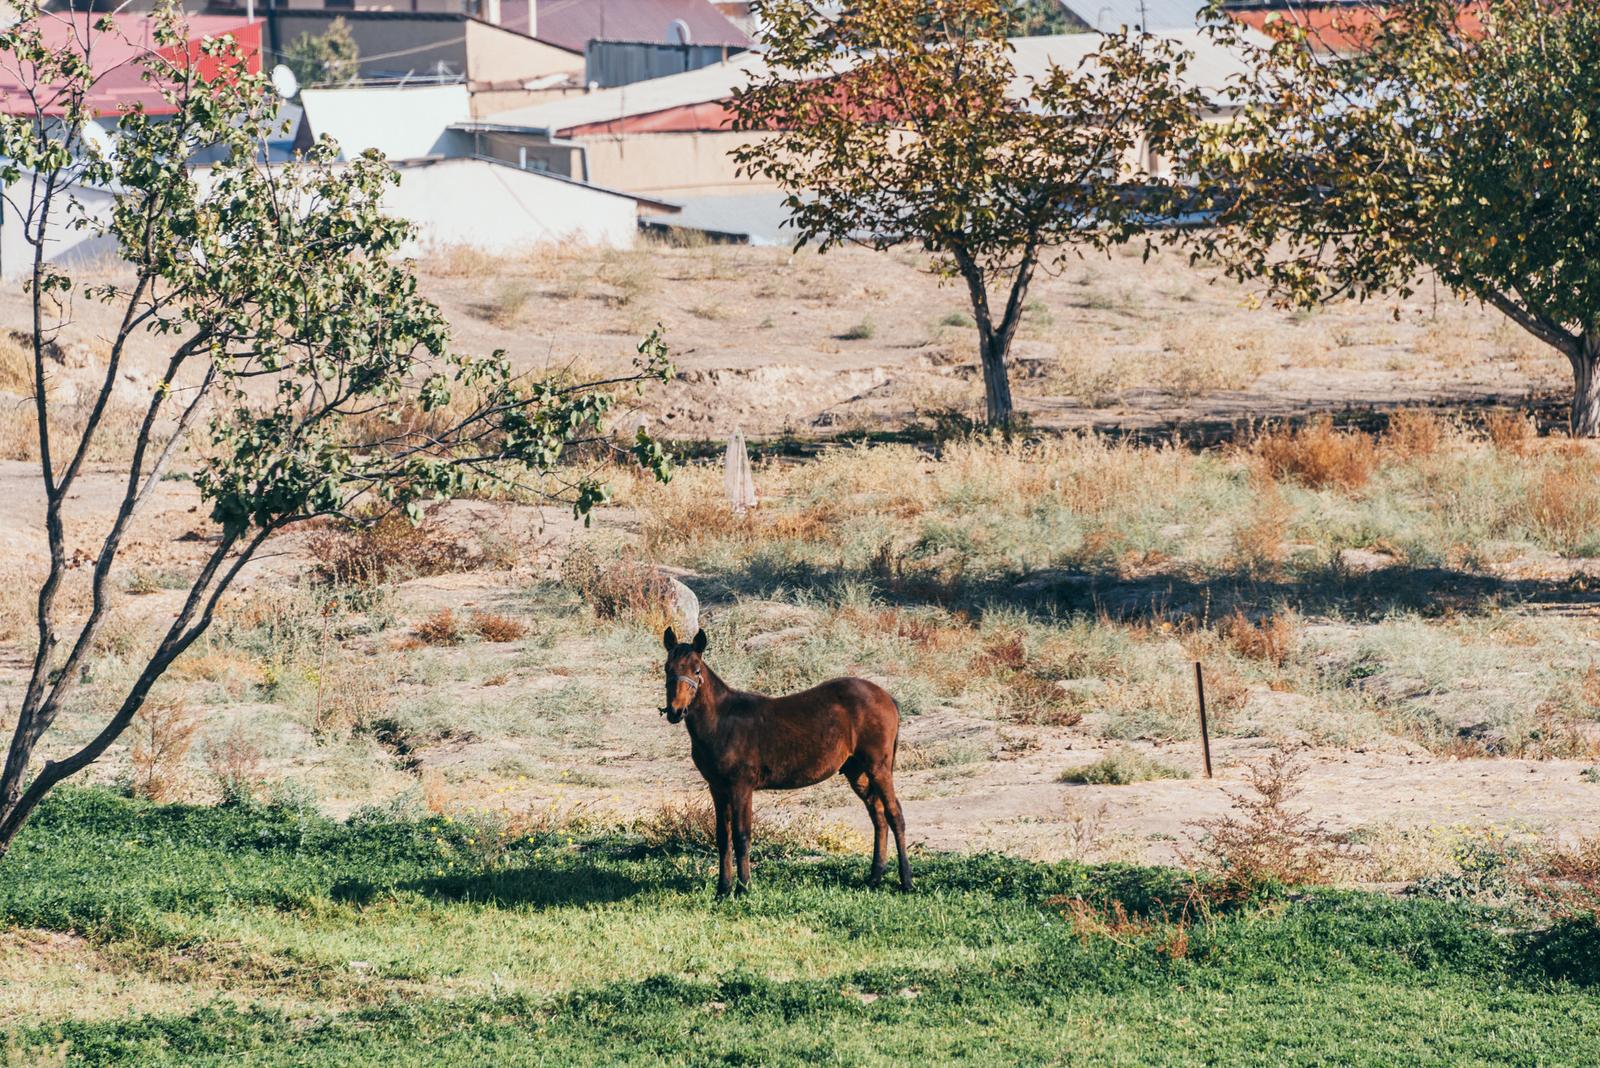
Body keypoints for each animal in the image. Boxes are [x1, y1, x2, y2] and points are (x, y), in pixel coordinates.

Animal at [662, 626, 915, 895]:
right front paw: (723, 889)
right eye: (667, 668)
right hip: (857, 771)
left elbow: (742, 836)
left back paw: (906, 881)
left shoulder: (741, 786)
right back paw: (874, 878)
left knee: (894, 814)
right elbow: (723, 837)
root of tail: (887, 697)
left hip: (879, 766)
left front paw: (744, 888)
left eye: (696, 670)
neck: (722, 721)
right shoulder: (717, 787)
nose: (675, 712)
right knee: (878, 815)